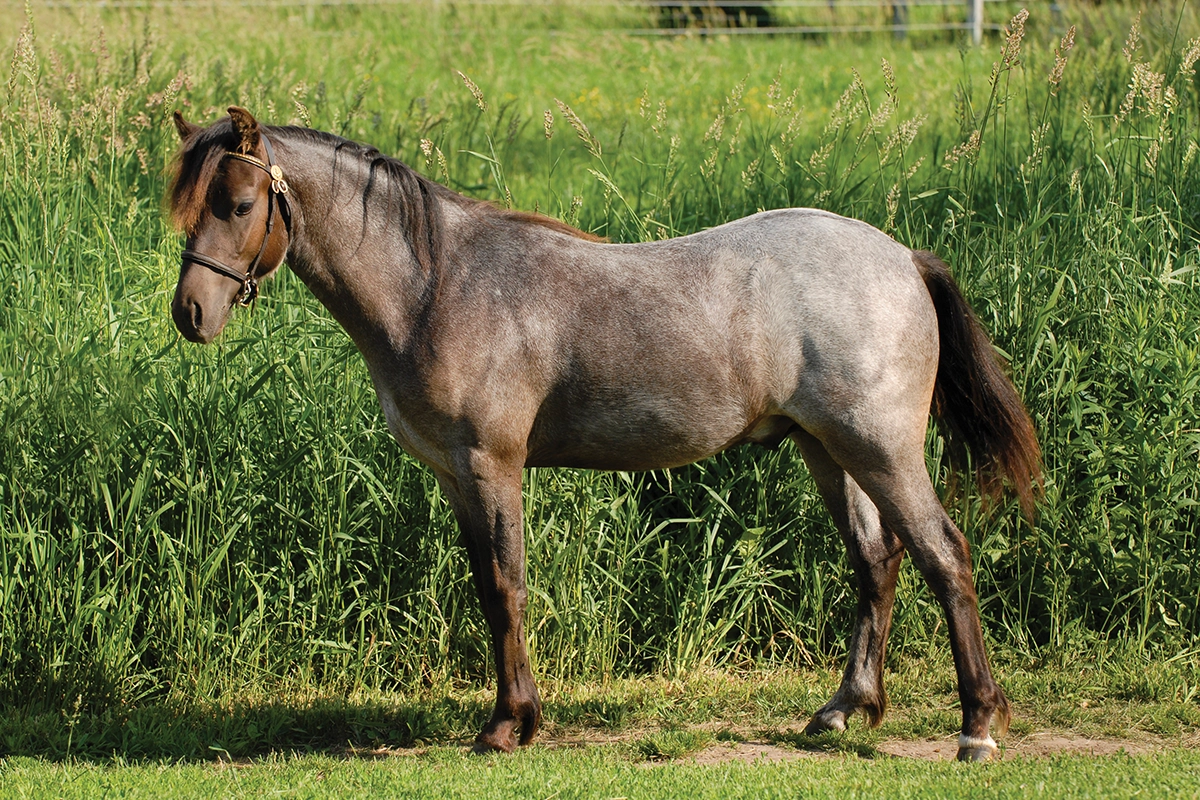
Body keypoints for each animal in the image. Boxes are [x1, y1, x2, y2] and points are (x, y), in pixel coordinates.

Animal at [168, 107, 1040, 761]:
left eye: (237, 205)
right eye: (190, 206)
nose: (191, 314)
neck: (437, 285)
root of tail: (902, 258)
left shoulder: (490, 465)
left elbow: (505, 588)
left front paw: (508, 724)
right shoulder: (454, 475)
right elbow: (488, 587)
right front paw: (512, 715)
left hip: (881, 450)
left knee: (944, 555)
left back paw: (978, 725)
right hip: (829, 451)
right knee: (876, 561)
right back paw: (842, 711)